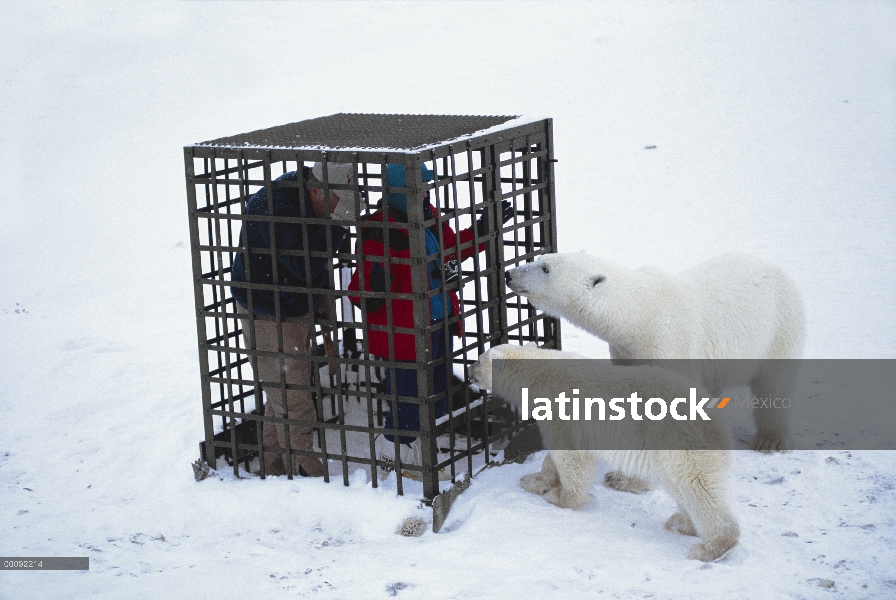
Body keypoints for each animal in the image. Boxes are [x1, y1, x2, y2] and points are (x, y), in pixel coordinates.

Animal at [468, 342, 744, 564]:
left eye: (479, 358)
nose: (469, 371)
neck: (539, 373)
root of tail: (718, 420)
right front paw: (534, 480)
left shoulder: (561, 410)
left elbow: (570, 457)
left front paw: (560, 497)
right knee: (682, 487)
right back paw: (681, 522)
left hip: (681, 440)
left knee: (697, 487)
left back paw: (710, 547)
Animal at [504, 251, 804, 452]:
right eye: (541, 259)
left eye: (545, 268)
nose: (509, 274)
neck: (640, 314)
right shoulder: (625, 351)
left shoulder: (669, 343)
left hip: (780, 328)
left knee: (775, 384)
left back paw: (770, 439)